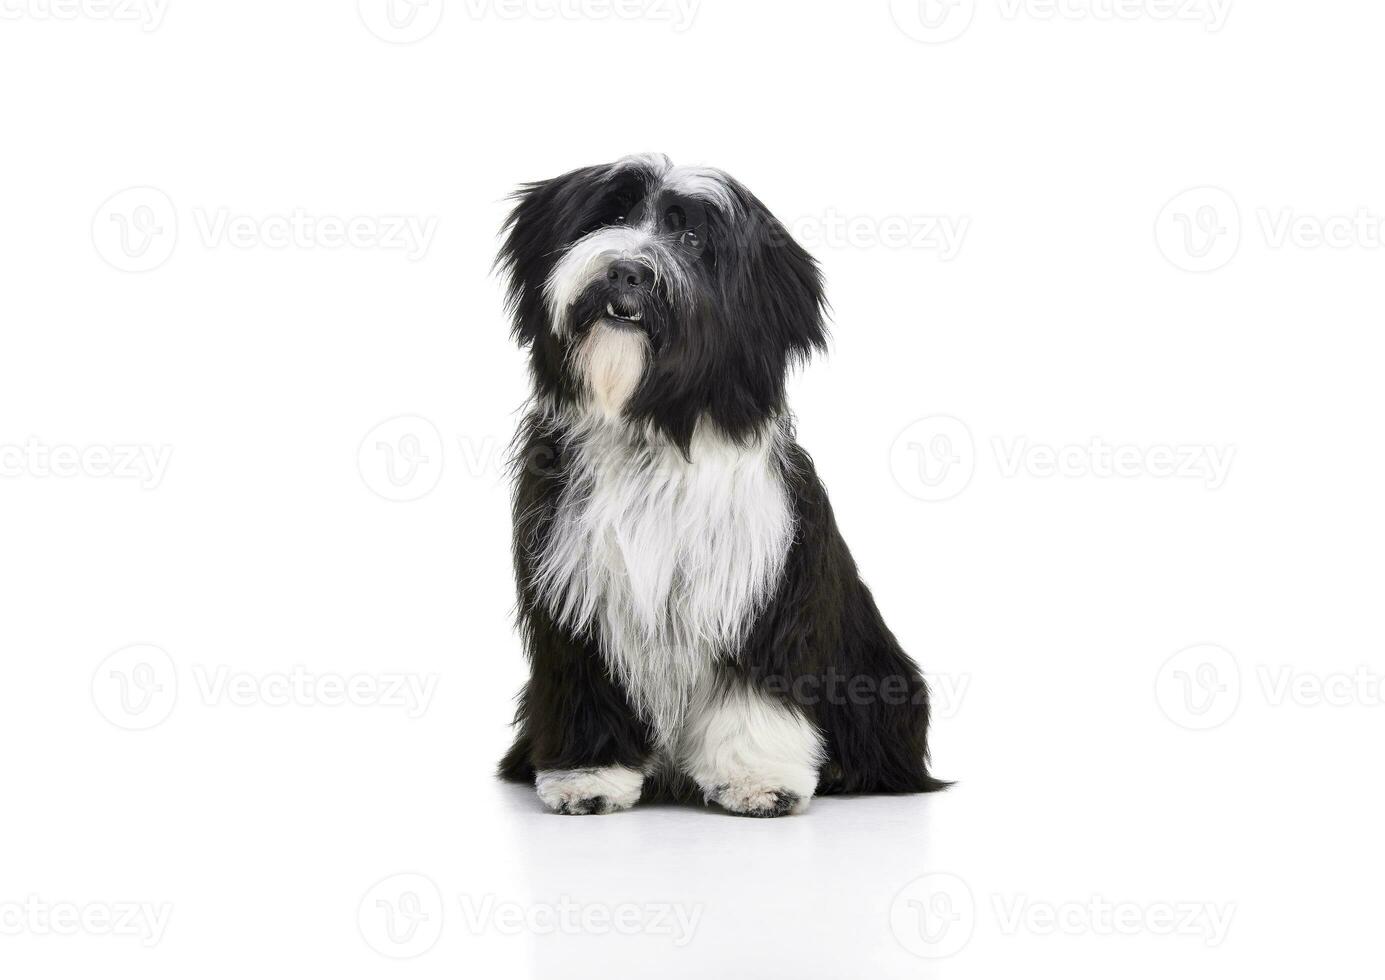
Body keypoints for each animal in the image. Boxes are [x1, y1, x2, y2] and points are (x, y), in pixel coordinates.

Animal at [493, 150, 947, 813]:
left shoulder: (761, 594)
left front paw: (757, 779)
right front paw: (589, 775)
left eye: (691, 239)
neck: (655, 431)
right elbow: (586, 685)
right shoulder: (576, 597)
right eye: (612, 215)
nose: (627, 272)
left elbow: (753, 693)